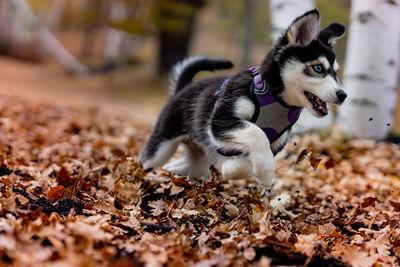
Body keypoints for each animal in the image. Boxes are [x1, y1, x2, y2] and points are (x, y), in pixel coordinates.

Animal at [139, 9, 346, 195]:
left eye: (336, 72)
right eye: (318, 68)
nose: (343, 94)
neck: (276, 97)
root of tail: (183, 87)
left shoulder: (275, 143)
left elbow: (252, 159)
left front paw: (234, 169)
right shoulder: (220, 122)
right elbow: (257, 133)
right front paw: (265, 172)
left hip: (198, 160)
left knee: (178, 166)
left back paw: (169, 175)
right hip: (162, 145)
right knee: (147, 161)